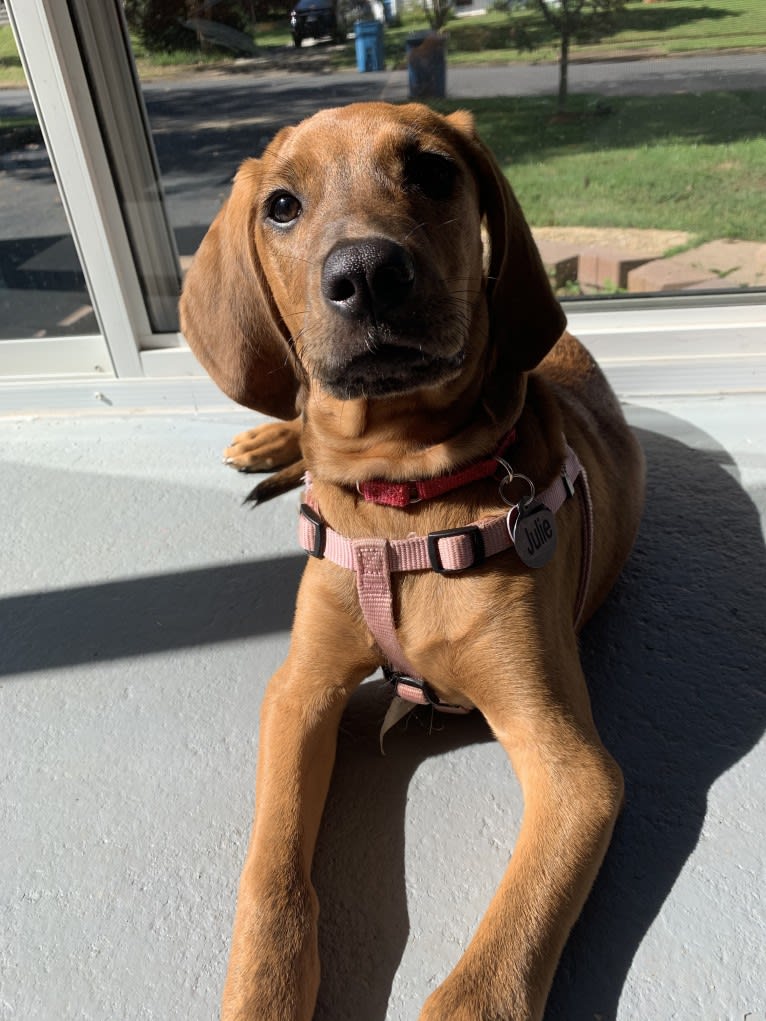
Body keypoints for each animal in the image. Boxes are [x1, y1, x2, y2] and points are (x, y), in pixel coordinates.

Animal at [181, 97, 649, 1021]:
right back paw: (269, 442)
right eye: (281, 204)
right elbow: (274, 878)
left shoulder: (577, 768)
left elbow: (489, 970)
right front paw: (261, 991)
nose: (366, 273)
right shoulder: (300, 690)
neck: (403, 495)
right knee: (297, 406)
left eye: (432, 171)